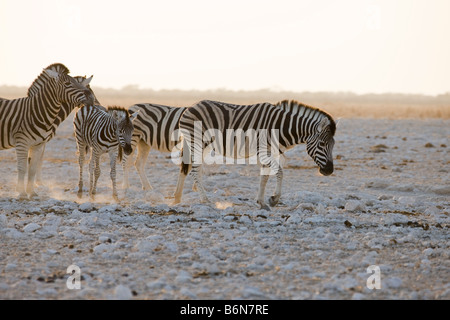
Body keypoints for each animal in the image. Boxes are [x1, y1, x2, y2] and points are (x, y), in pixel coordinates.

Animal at [0, 62, 95, 199]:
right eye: (67, 84)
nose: (91, 99)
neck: (36, 111)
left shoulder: (38, 143)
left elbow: (33, 167)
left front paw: (32, 192)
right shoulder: (22, 142)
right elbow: (23, 167)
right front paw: (22, 192)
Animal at [174, 100, 336, 210]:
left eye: (333, 145)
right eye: (322, 144)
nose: (329, 171)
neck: (281, 127)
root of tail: (191, 106)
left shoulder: (269, 153)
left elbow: (264, 177)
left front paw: (261, 202)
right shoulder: (263, 151)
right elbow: (280, 172)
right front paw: (274, 199)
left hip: (204, 145)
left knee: (191, 168)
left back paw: (177, 199)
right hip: (196, 141)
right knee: (195, 170)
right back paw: (204, 200)